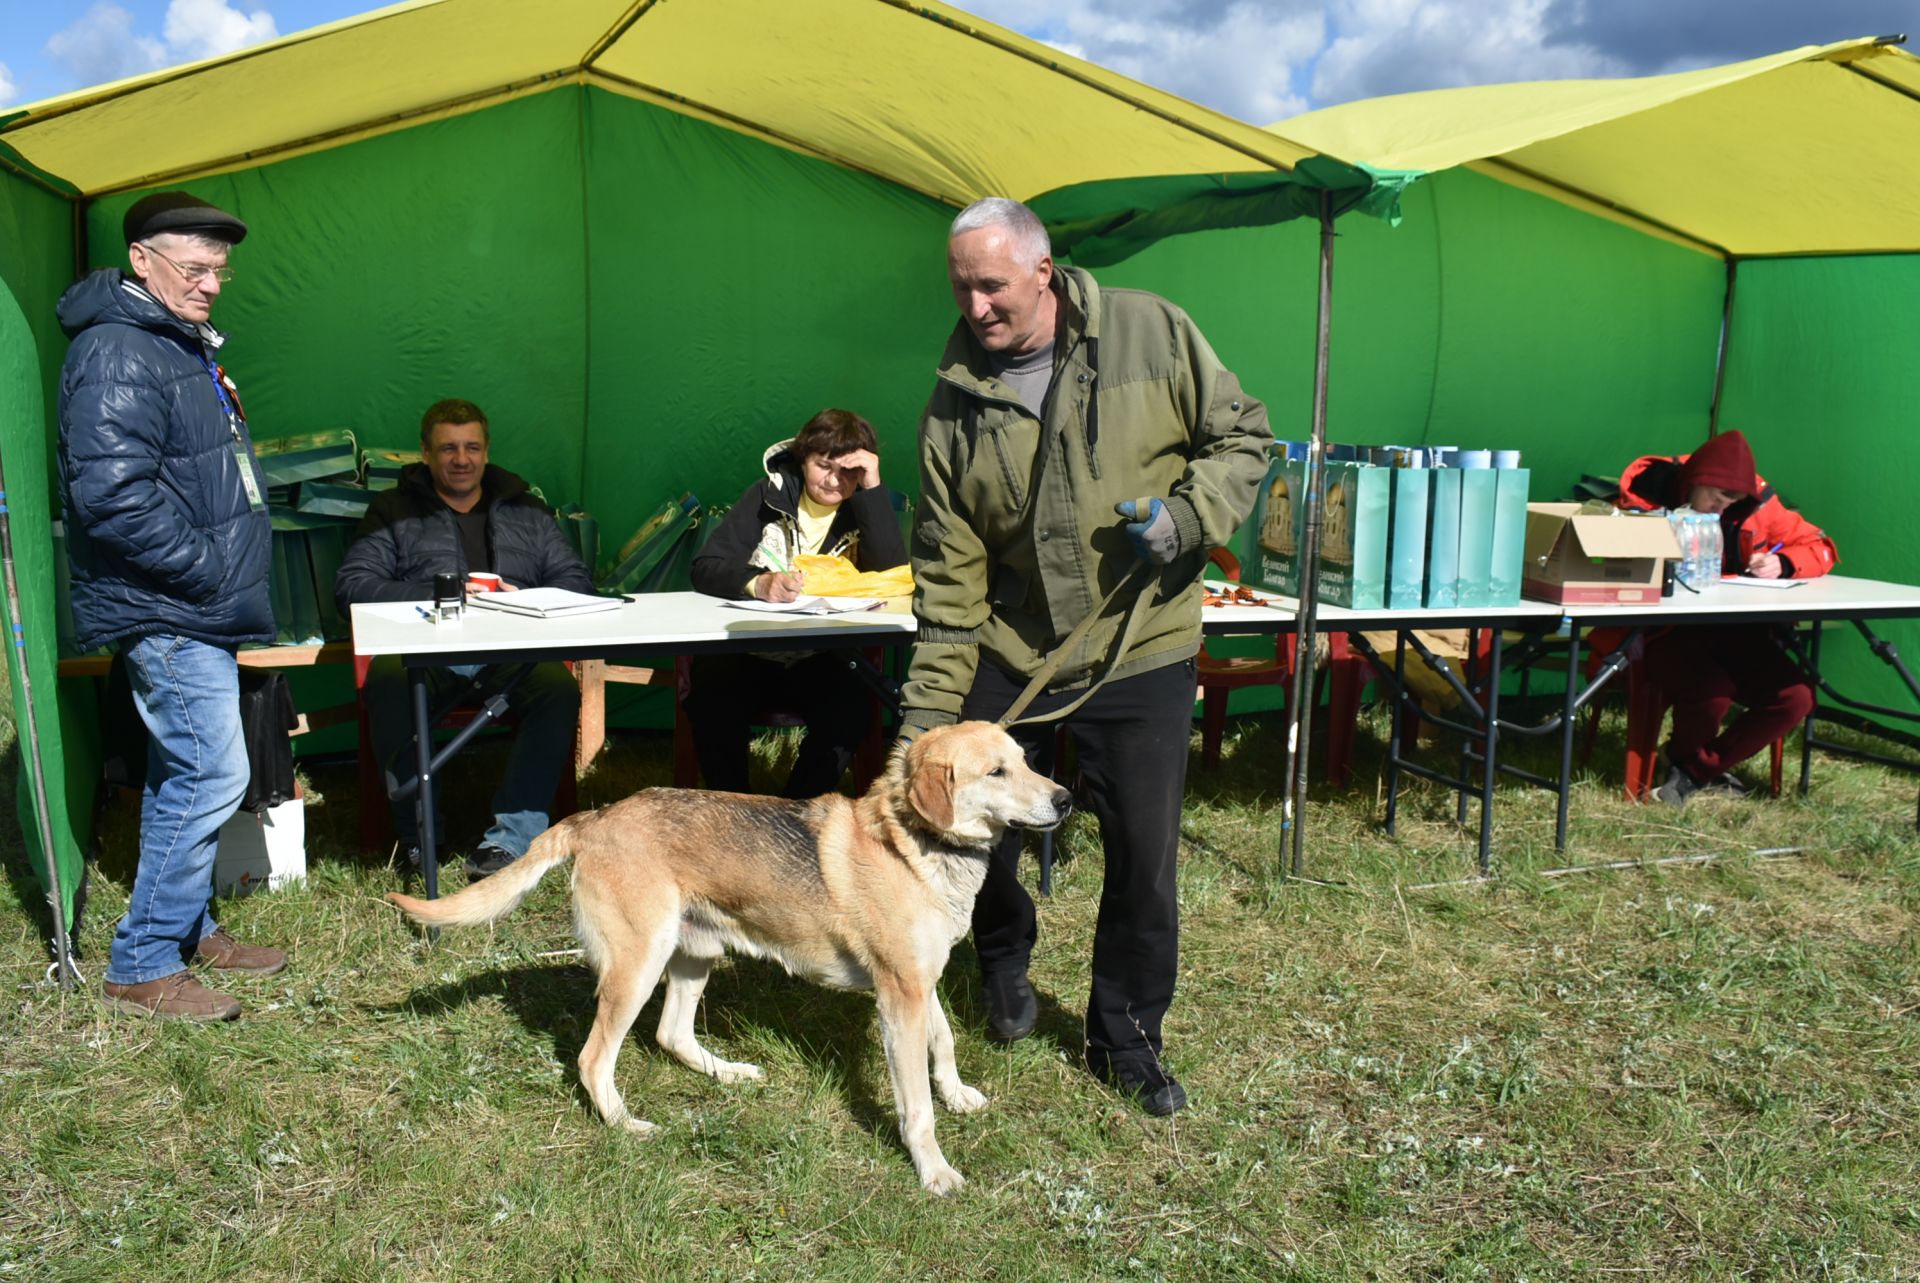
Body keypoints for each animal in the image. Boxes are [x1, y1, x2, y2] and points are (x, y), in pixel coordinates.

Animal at [382, 722, 1075, 1190]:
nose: (1067, 799)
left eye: (1025, 761)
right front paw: (933, 1171)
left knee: (671, 1034)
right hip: (638, 966)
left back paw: (728, 1073)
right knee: (593, 1059)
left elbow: (946, 1044)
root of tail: (595, 818)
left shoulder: (919, 983)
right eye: (996, 773)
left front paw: (958, 1096)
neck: (916, 845)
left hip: (694, 956)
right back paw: (626, 1126)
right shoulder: (898, 995)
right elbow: (916, 1107)